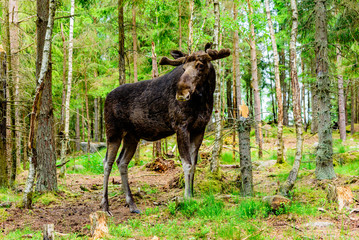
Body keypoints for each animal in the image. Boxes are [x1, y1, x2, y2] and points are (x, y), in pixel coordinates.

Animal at [100, 42, 231, 214]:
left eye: (200, 65)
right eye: (183, 68)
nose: (181, 93)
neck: (205, 100)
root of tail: (106, 98)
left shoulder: (199, 129)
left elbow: (194, 164)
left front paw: (192, 195)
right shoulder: (181, 126)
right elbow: (187, 164)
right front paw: (186, 199)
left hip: (132, 136)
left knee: (121, 162)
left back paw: (132, 205)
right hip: (113, 132)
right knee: (107, 162)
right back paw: (105, 206)